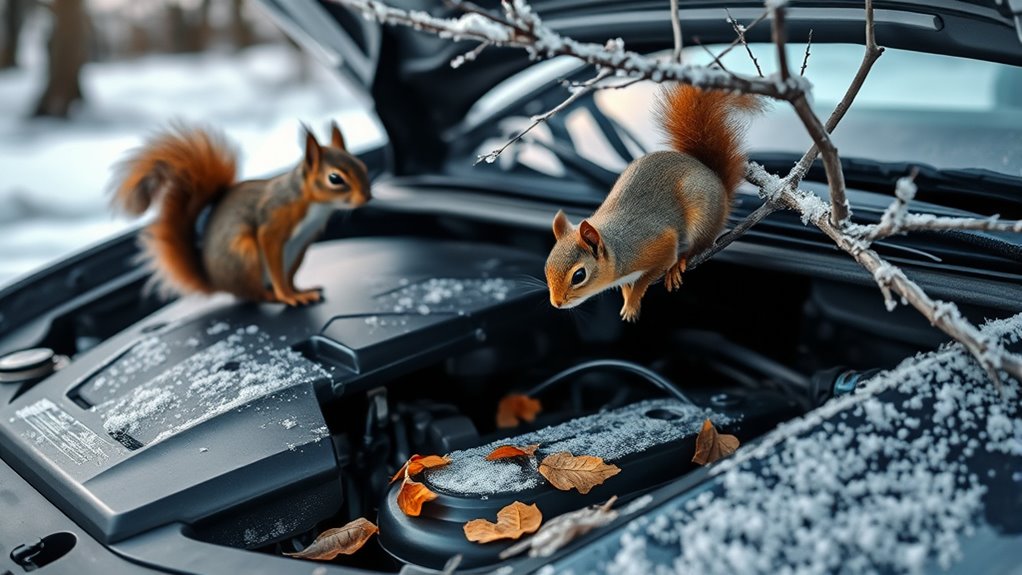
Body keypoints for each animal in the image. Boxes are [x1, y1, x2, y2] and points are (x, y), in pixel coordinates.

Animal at [110, 122, 370, 306]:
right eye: (335, 178)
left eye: (362, 167)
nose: (367, 198)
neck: (314, 205)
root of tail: (217, 282)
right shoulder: (273, 223)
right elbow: (274, 262)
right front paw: (288, 296)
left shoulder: (304, 240)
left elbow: (288, 275)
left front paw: (298, 291)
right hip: (245, 255)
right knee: (252, 294)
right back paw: (271, 296)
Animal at [545, 85, 761, 322]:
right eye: (547, 267)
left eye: (579, 276)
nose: (556, 303)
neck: (619, 251)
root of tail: (716, 181)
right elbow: (626, 285)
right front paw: (626, 296)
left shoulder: (658, 244)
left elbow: (647, 276)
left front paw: (632, 302)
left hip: (702, 211)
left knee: (700, 244)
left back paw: (680, 263)